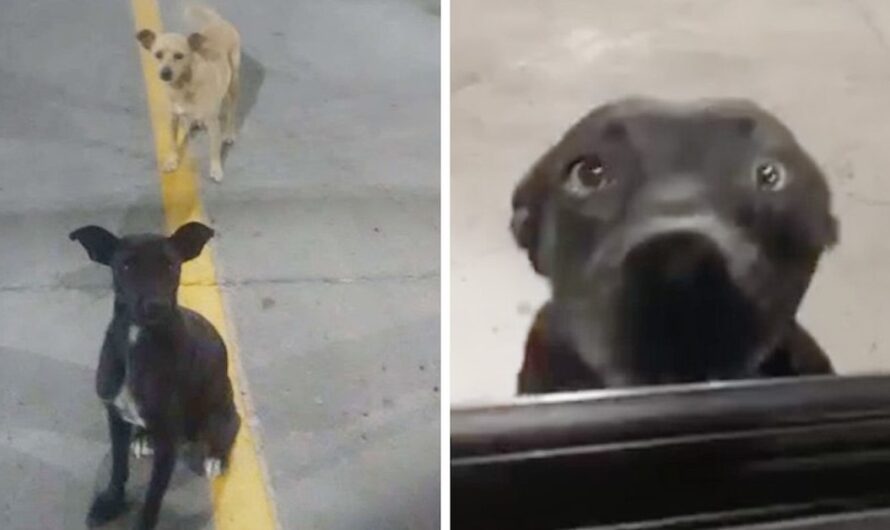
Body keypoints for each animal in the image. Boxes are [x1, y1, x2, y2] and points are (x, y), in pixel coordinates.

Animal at [70, 221, 239, 524]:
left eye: (171, 265)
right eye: (126, 265)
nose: (155, 306)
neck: (139, 340)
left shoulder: (168, 441)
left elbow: (154, 493)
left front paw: (144, 521)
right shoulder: (115, 417)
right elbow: (118, 468)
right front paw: (112, 502)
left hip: (220, 411)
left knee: (229, 428)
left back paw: (216, 458)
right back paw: (141, 438)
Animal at [136, 4, 239, 184]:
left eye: (179, 56)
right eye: (157, 55)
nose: (165, 73)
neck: (183, 85)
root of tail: (220, 21)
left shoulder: (213, 124)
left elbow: (214, 149)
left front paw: (216, 170)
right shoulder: (173, 118)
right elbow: (172, 143)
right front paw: (172, 161)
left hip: (232, 83)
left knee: (232, 108)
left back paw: (228, 133)